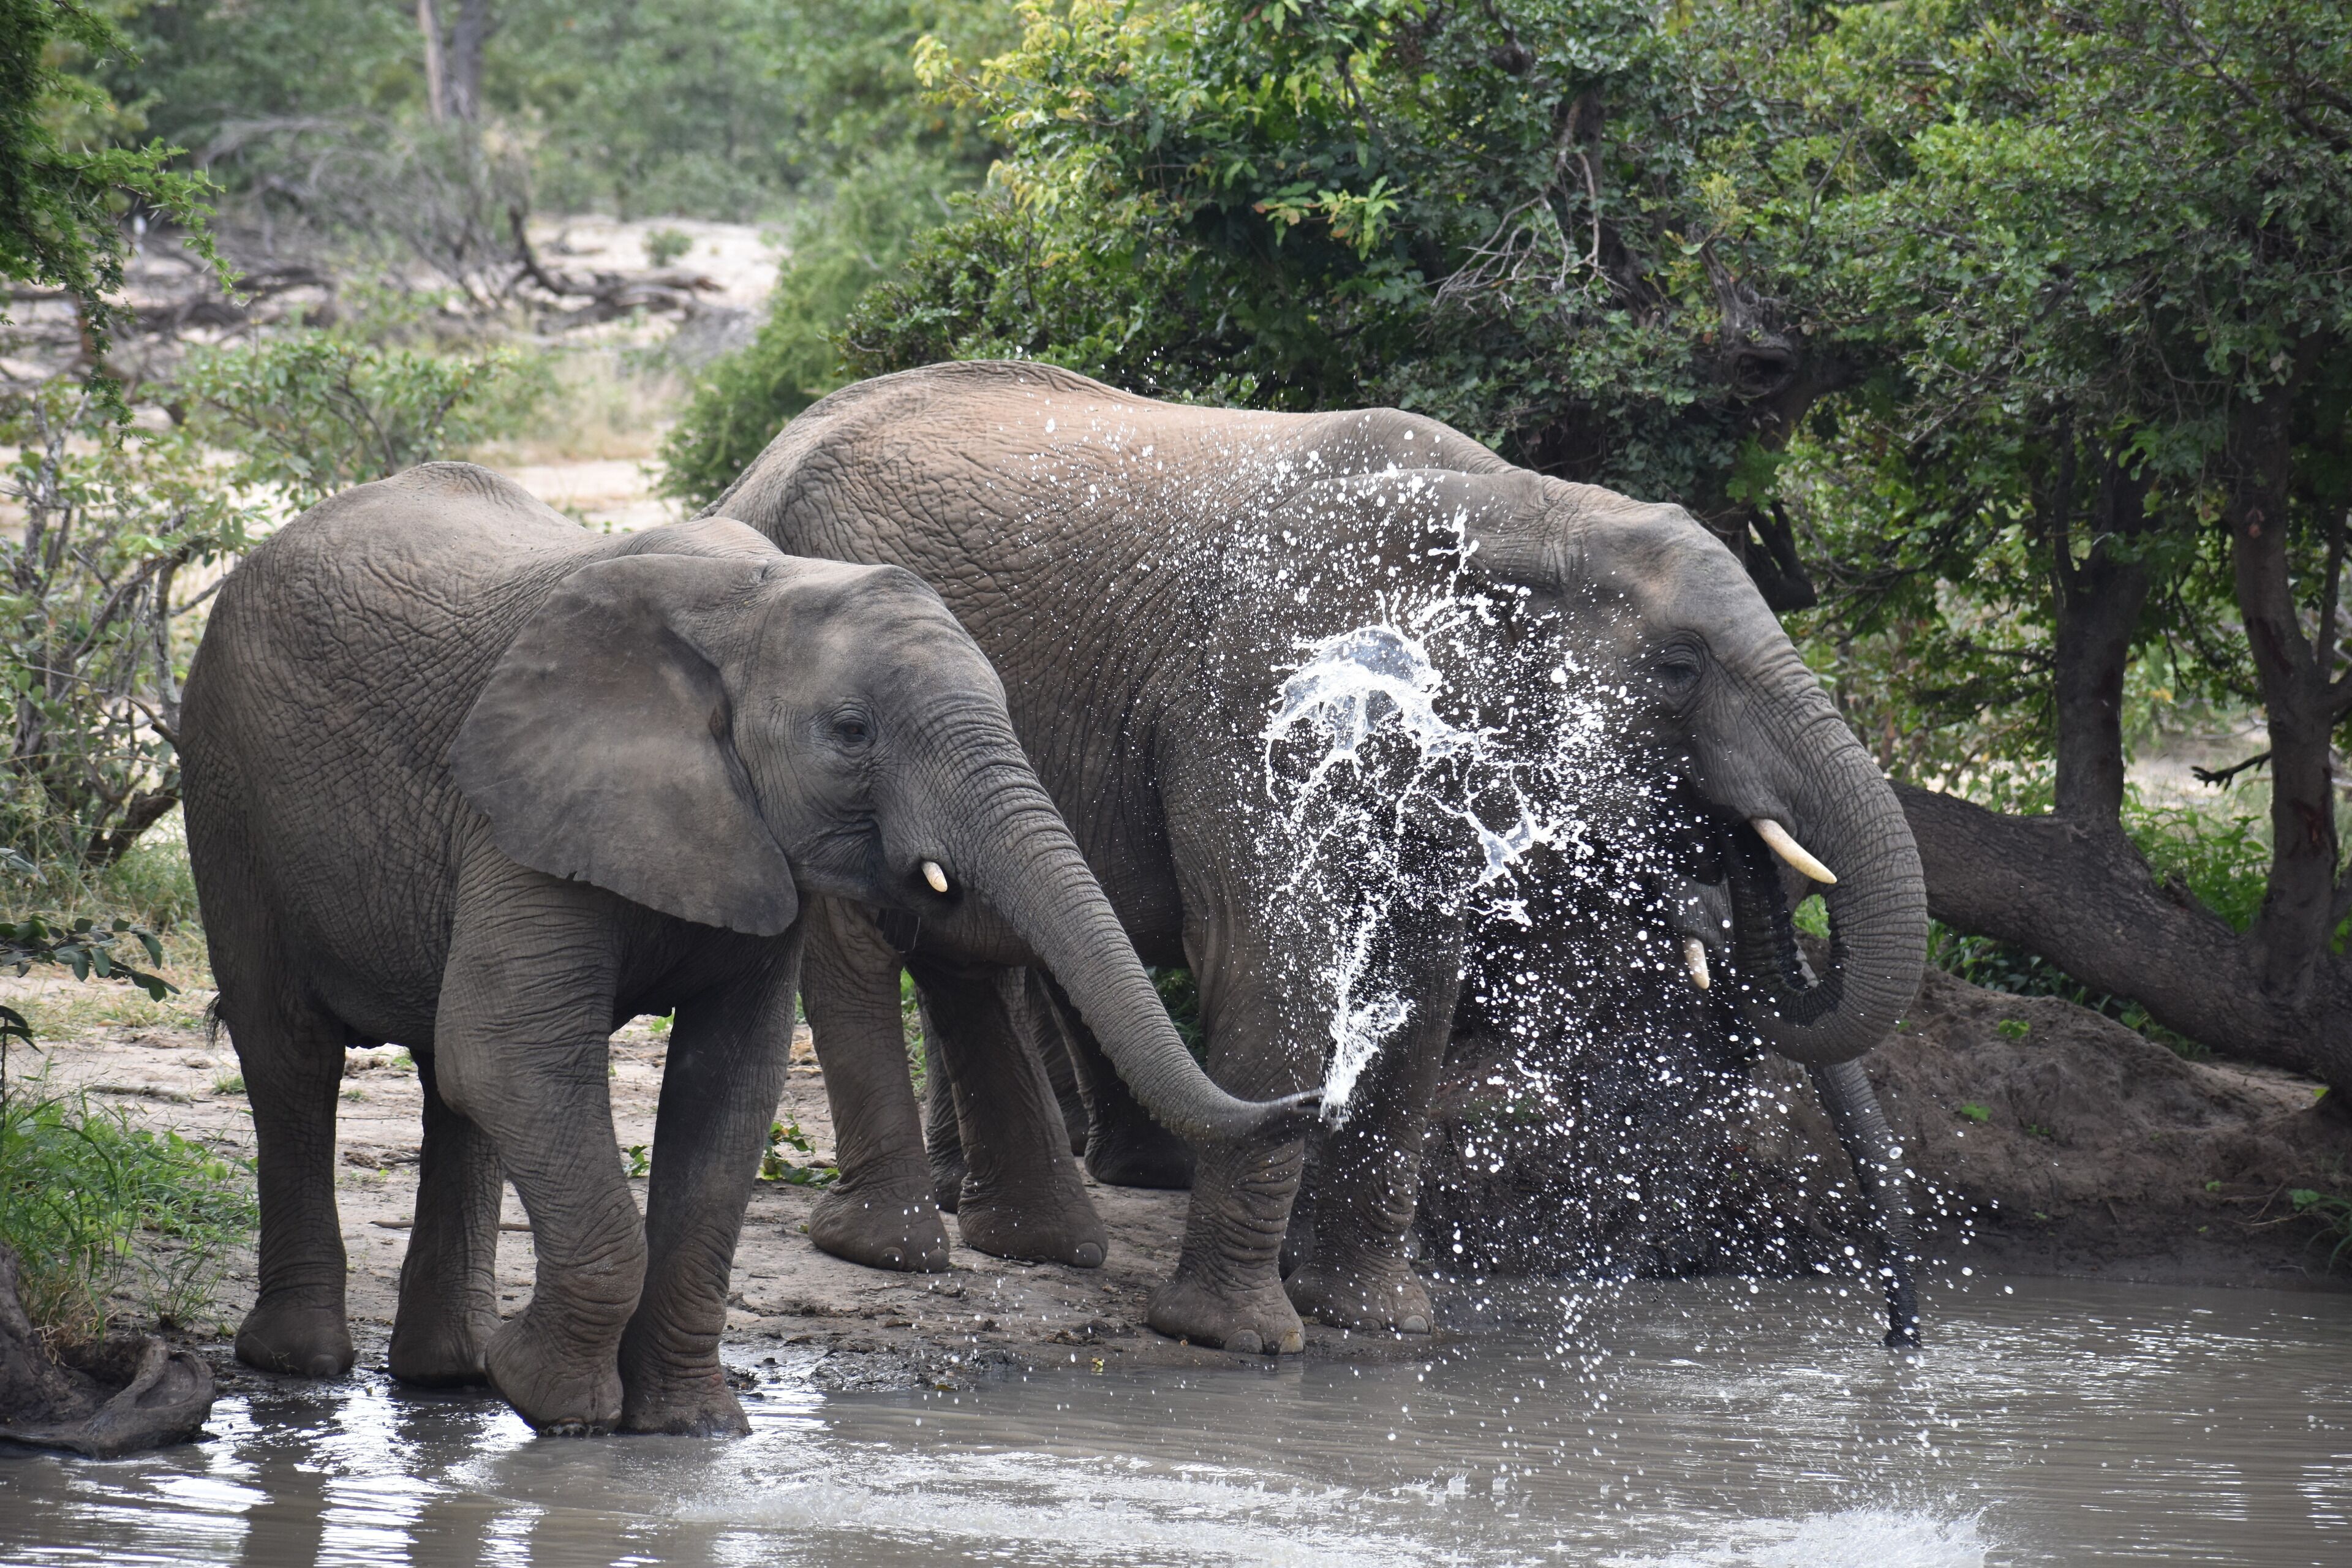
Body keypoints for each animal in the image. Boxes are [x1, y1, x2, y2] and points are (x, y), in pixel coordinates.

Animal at [177, 462, 1309, 1435]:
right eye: (852, 732)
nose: (1308, 1104)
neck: (753, 597)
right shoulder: (524, 805)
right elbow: (508, 1052)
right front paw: (554, 1402)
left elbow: (724, 1088)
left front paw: (689, 1430)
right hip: (224, 789)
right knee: (296, 1056)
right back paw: (305, 1363)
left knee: (448, 1088)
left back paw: (447, 1373)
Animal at [701, 360, 1929, 1354]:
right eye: (1679, 667)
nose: (1901, 1340)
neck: (1528, 509)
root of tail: (748, 476)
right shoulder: (1259, 690)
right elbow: (1274, 955)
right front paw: (1240, 1339)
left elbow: (1418, 981)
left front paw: (1377, 1322)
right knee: (867, 943)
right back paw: (894, 1250)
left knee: (965, 944)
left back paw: (1045, 1246)